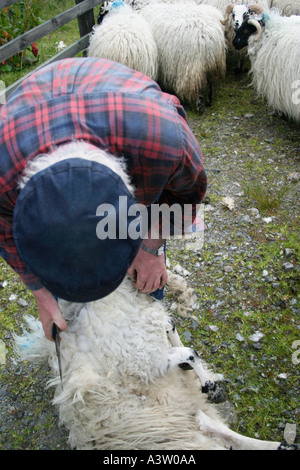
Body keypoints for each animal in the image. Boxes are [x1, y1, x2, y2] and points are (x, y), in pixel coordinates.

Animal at [14, 276, 296, 452]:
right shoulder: (144, 360)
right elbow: (189, 352)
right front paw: (210, 385)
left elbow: (172, 329)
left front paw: (206, 382)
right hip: (169, 426)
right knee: (216, 433)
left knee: (217, 429)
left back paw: (283, 445)